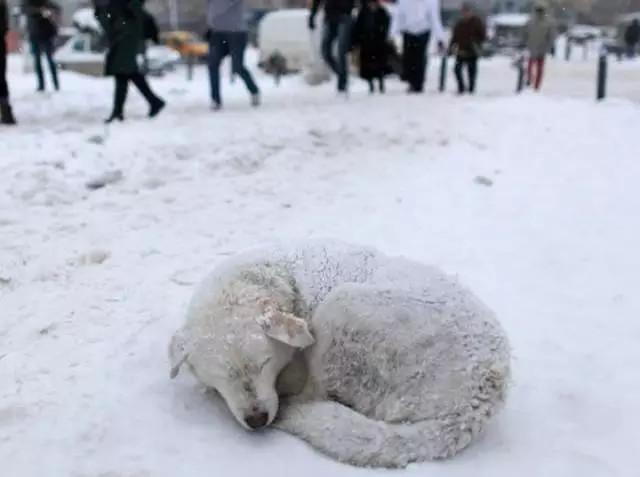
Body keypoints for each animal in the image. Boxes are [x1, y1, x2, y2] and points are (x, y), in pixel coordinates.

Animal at [169, 244, 510, 466]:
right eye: (223, 376)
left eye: (264, 363)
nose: (257, 420)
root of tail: (475, 403)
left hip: (341, 307)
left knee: (316, 394)